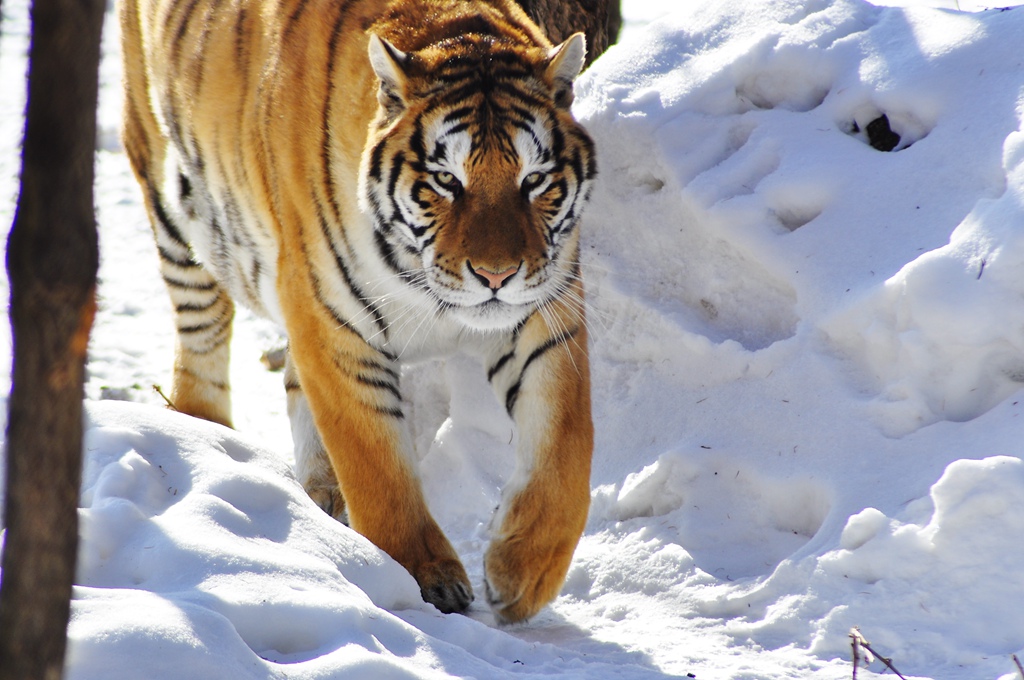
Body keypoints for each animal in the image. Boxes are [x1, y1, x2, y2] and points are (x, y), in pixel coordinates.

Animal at [117, 0, 598, 622]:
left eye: (534, 180)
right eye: (447, 181)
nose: (496, 275)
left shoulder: (546, 311)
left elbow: (567, 443)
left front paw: (523, 575)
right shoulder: (333, 319)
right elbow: (377, 465)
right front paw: (426, 578)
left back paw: (321, 496)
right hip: (171, 195)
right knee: (201, 333)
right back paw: (206, 436)